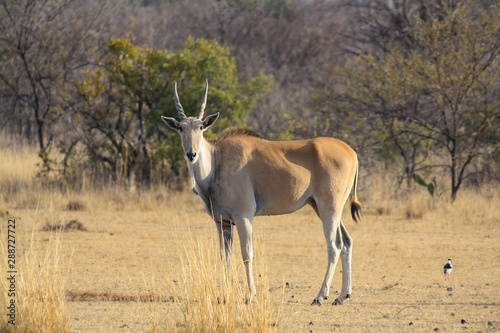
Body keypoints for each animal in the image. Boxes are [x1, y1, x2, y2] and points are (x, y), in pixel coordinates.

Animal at [162, 80, 362, 304]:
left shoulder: (244, 216)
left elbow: (246, 254)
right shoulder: (222, 223)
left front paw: (250, 294)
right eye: (180, 128)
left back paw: (320, 296)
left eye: (201, 127)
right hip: (321, 207)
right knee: (346, 242)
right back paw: (342, 295)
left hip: (330, 207)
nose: (191, 154)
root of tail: (352, 152)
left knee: (334, 246)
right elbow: (225, 257)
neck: (217, 161)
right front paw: (225, 295)